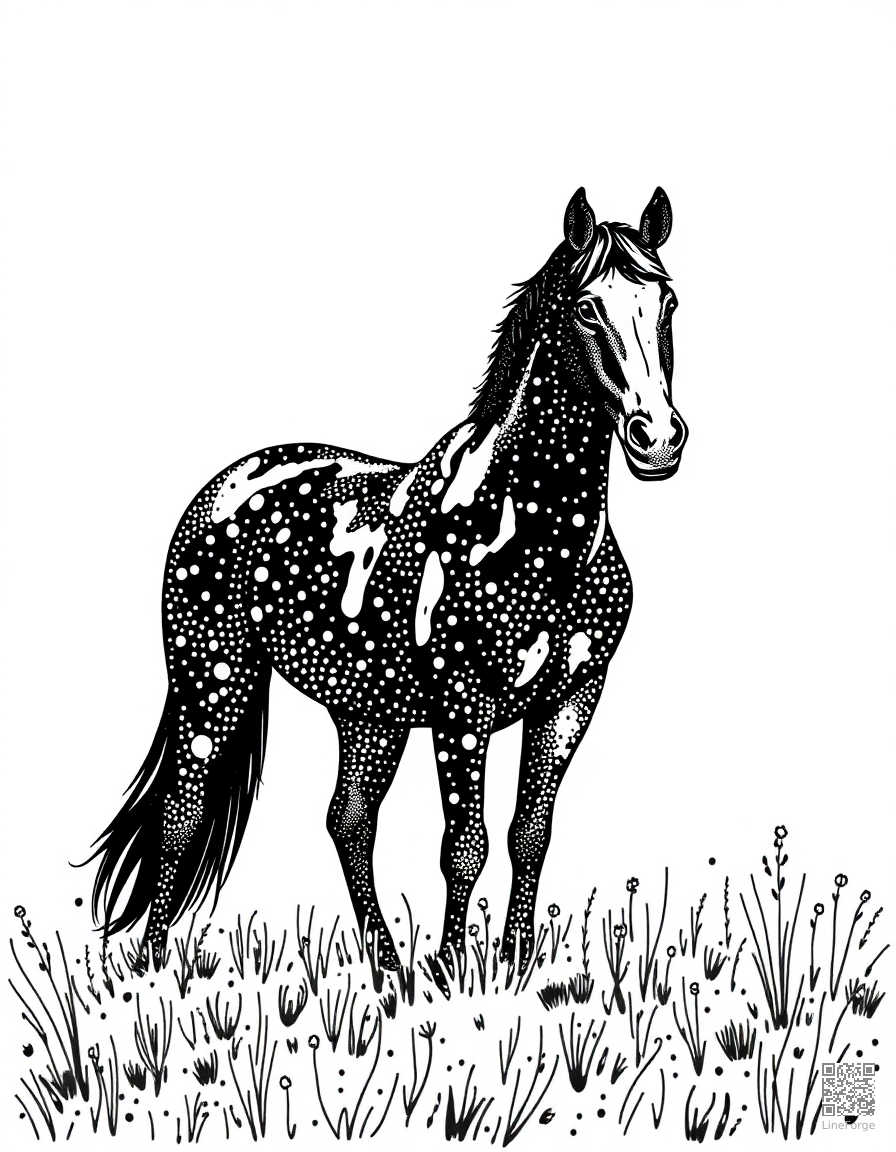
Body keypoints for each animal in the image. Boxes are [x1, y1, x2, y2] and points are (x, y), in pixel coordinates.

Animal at [86, 186, 687, 974]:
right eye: (588, 308)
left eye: (668, 301)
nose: (659, 439)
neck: (534, 534)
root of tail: (223, 487)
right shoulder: (464, 712)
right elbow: (465, 846)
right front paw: (458, 971)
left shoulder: (570, 704)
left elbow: (529, 834)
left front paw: (514, 965)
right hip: (214, 683)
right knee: (181, 818)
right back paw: (157, 972)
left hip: (369, 711)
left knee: (348, 821)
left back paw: (387, 970)